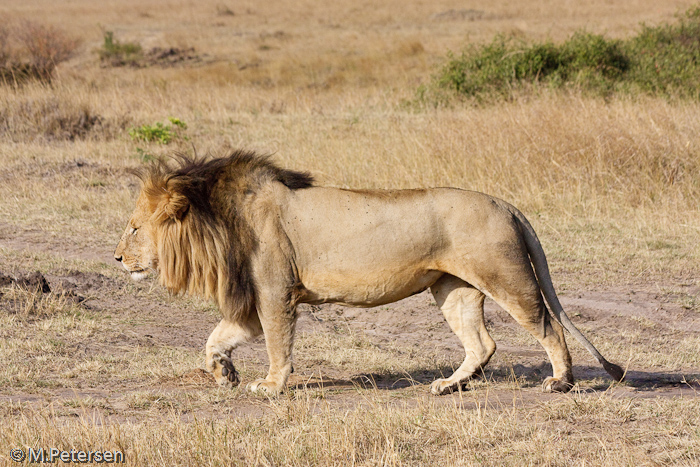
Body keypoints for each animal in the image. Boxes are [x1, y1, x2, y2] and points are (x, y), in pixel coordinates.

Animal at [115, 151, 624, 394]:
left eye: (134, 227)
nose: (117, 259)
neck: (219, 219)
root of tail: (506, 204)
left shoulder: (276, 292)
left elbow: (279, 345)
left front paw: (272, 386)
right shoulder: (254, 300)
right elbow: (216, 338)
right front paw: (224, 374)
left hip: (507, 278)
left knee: (549, 327)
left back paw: (561, 383)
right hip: (453, 289)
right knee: (483, 343)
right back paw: (447, 386)